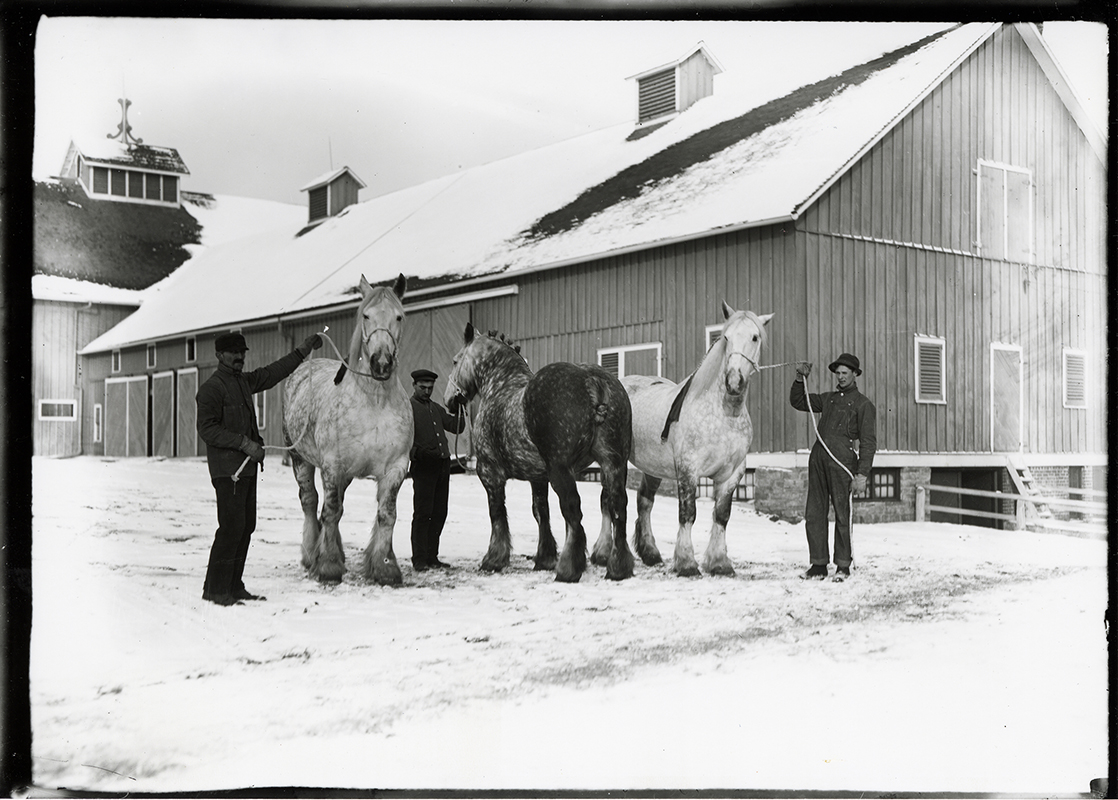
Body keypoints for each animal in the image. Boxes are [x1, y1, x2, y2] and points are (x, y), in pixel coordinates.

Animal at [282, 273, 413, 586]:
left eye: (399, 316)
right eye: (366, 315)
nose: (381, 363)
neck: (374, 402)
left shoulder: (396, 468)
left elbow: (386, 514)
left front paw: (385, 567)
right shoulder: (332, 465)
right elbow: (331, 511)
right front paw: (328, 566)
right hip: (301, 461)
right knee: (310, 502)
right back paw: (311, 555)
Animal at [445, 324, 634, 583]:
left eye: (455, 361)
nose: (449, 401)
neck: (500, 387)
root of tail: (592, 380)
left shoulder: (490, 473)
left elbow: (497, 513)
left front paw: (494, 559)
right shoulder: (538, 477)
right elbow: (541, 511)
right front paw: (544, 558)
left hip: (562, 470)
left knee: (573, 510)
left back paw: (568, 569)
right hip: (613, 463)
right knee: (618, 507)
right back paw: (618, 568)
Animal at [620, 302, 773, 577]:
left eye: (755, 337)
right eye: (725, 337)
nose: (734, 382)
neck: (724, 414)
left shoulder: (732, 473)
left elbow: (721, 515)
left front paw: (720, 562)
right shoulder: (688, 470)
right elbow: (687, 513)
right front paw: (686, 563)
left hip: (652, 467)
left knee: (644, 502)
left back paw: (650, 553)